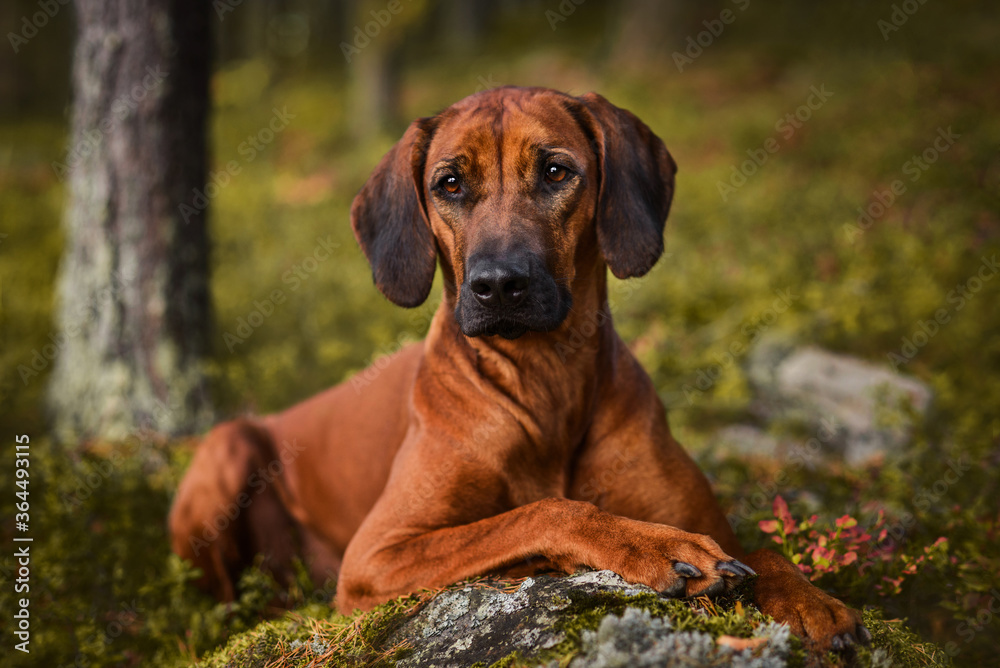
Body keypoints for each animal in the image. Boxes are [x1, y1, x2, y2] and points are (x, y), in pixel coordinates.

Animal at [168, 85, 872, 652]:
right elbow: (542, 512)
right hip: (227, 448)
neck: (544, 378)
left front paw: (814, 601)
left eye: (557, 172)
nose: (498, 285)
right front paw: (649, 545)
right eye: (449, 183)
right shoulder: (376, 555)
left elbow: (764, 550)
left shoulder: (712, 522)